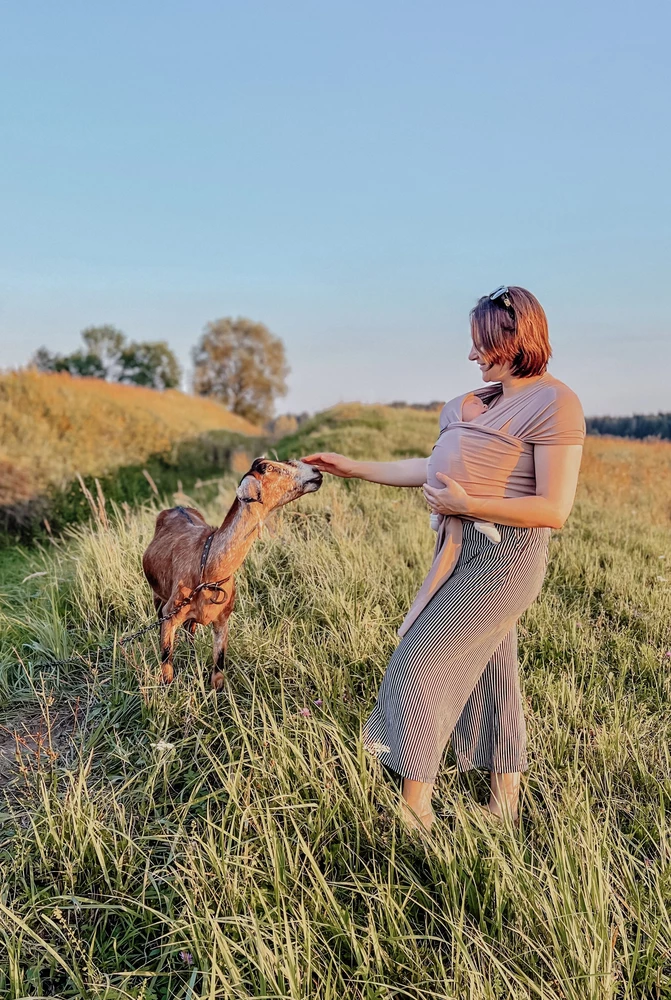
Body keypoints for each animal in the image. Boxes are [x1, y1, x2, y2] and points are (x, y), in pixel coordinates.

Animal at [142, 458, 322, 688]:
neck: (207, 566)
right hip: (157, 597)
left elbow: (218, 668)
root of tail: (177, 506)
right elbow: (166, 663)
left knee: (190, 631)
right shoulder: (170, 613)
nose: (316, 470)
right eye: (268, 467)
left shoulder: (223, 620)